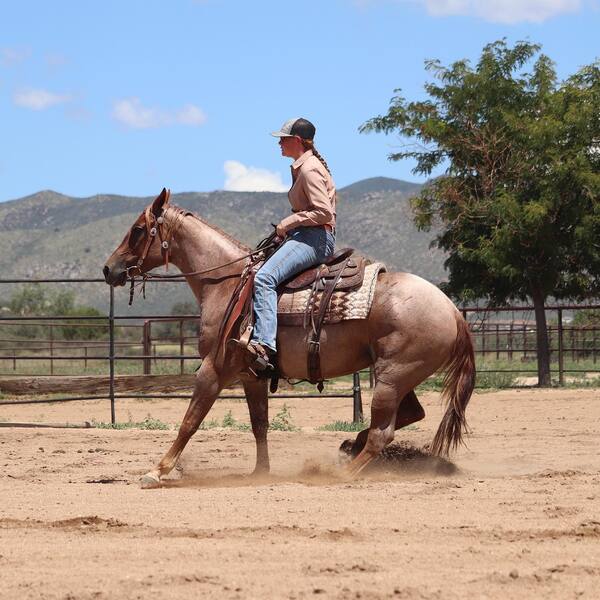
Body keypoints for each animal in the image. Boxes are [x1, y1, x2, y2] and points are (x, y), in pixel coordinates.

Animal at [104, 188, 478, 488]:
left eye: (138, 230)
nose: (109, 269)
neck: (227, 283)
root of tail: (453, 311)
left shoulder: (214, 369)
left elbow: (189, 422)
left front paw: (157, 471)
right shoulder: (251, 375)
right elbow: (260, 425)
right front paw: (260, 473)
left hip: (392, 376)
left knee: (381, 433)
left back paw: (343, 470)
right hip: (399, 376)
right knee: (410, 414)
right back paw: (349, 447)